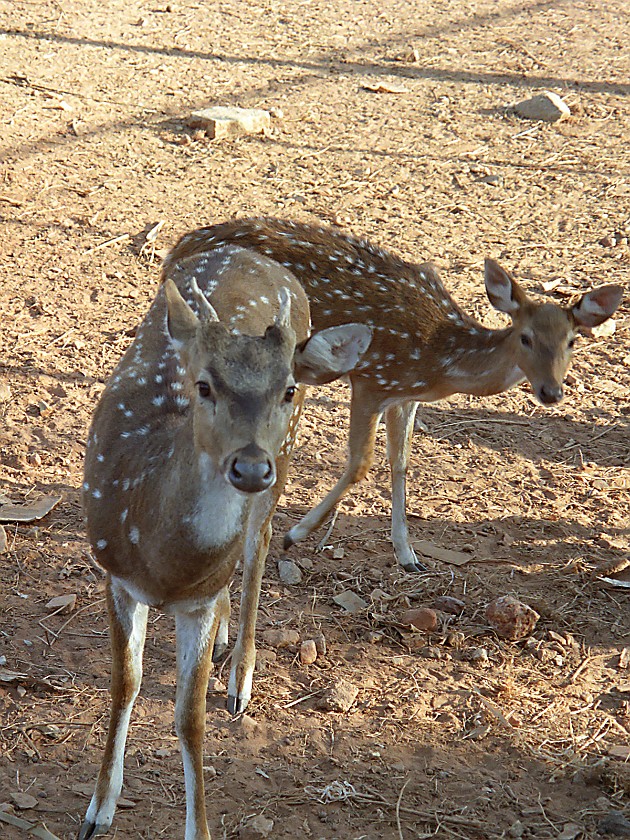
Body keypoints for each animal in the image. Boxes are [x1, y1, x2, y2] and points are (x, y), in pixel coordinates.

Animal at [81, 243, 372, 840]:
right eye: (204, 385)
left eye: (286, 387)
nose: (249, 465)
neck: (164, 563)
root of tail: (252, 253)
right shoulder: (115, 576)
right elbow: (125, 683)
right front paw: (98, 810)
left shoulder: (194, 598)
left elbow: (189, 718)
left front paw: (199, 827)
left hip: (287, 455)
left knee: (259, 546)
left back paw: (240, 676)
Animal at [169, 217, 628, 572]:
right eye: (526, 338)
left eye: (572, 340)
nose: (551, 392)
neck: (438, 360)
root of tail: (176, 249)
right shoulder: (372, 379)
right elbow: (361, 463)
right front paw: (295, 534)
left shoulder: (405, 396)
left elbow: (401, 463)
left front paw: (408, 555)